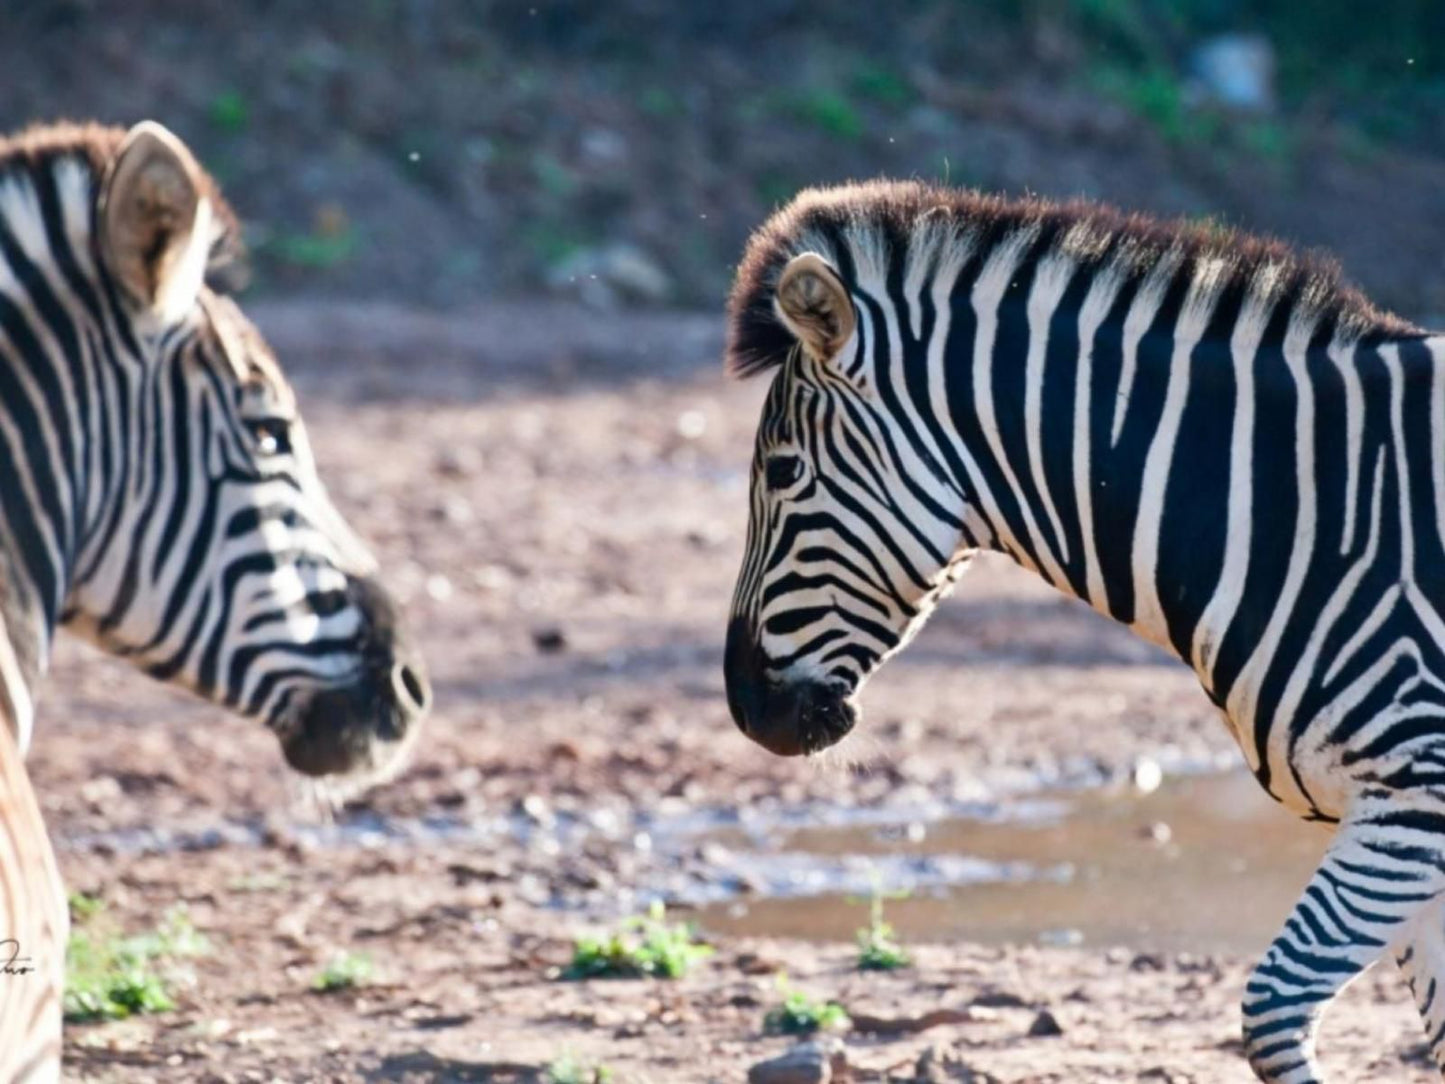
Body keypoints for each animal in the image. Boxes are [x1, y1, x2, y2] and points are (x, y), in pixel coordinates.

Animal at [728, 182, 1445, 1081]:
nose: (744, 708)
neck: (1305, 511)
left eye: (782, 472)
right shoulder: (1393, 822)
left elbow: (1272, 1008)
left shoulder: (1412, 804)